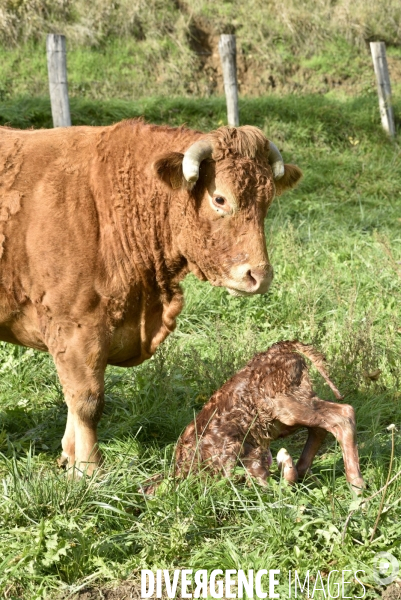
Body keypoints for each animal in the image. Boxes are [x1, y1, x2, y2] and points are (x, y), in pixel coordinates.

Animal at [0, 120, 300, 474]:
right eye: (220, 199)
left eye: (267, 201)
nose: (259, 275)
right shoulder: (75, 324)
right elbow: (86, 401)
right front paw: (89, 468)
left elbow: (74, 401)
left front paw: (70, 457)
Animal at [173, 340, 364, 494]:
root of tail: (282, 348)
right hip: (294, 405)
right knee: (321, 426)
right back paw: (303, 471)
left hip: (285, 403)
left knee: (343, 414)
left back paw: (357, 486)